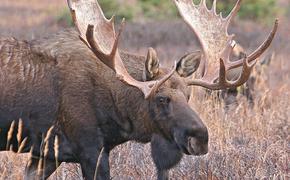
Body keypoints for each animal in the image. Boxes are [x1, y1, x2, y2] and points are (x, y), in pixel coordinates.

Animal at [0, 0, 278, 179]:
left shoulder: (47, 154)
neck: (116, 114)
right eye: (161, 98)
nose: (200, 138)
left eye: (188, 96)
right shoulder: (90, 150)